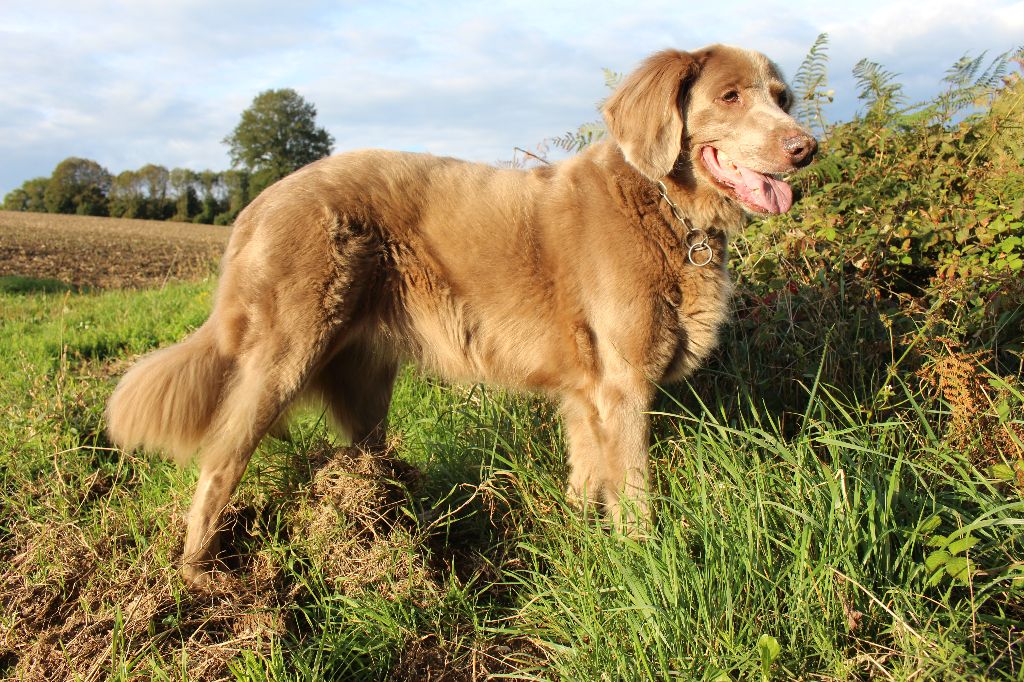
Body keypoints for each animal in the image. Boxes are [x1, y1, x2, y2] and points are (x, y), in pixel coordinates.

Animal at [108, 43, 815, 585]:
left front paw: (577, 545)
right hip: (281, 357)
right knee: (219, 463)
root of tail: (258, 204)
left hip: (364, 380)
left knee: (361, 453)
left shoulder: (584, 394)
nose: (806, 147)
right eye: (730, 97)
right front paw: (643, 560)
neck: (662, 202)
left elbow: (586, 478)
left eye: (782, 97)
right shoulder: (621, 386)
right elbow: (634, 490)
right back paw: (199, 576)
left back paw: (386, 533)